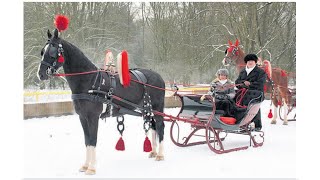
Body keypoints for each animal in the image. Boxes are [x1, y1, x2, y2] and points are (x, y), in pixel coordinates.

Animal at [38, 28, 165, 175]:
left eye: (52, 51)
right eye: (42, 51)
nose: (41, 74)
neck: (89, 81)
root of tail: (159, 76)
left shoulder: (93, 117)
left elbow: (93, 140)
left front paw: (92, 168)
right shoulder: (83, 117)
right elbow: (87, 140)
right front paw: (85, 165)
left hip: (157, 108)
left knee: (160, 126)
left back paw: (160, 155)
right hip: (146, 109)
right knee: (153, 126)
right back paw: (154, 152)